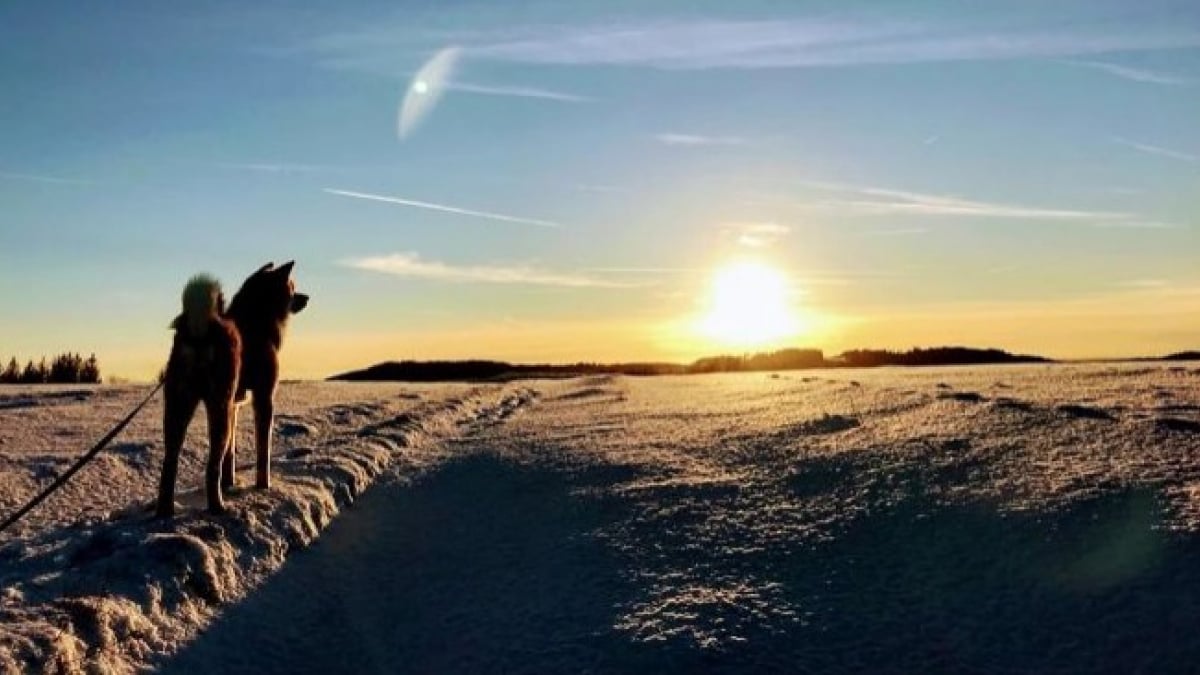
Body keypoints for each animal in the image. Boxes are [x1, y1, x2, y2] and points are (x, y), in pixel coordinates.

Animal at [157, 260, 309, 511]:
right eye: (293, 286)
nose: (306, 297)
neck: (257, 318)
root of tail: (200, 328)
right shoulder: (263, 398)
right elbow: (263, 452)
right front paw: (263, 486)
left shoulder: (234, 406)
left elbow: (231, 454)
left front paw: (230, 482)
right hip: (218, 406)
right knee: (211, 467)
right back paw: (217, 507)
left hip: (180, 407)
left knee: (170, 463)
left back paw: (165, 511)